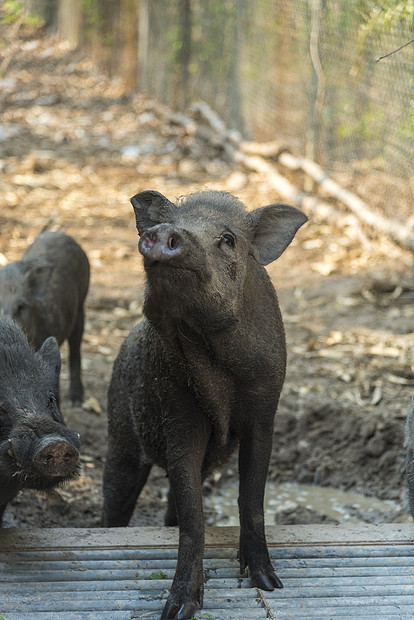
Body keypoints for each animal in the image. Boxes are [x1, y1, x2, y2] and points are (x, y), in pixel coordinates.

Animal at [102, 190, 308, 620]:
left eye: (228, 239)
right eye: (175, 222)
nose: (166, 232)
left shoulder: (265, 411)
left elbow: (252, 498)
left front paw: (269, 584)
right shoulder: (177, 412)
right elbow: (193, 515)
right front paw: (179, 609)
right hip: (121, 436)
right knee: (116, 502)